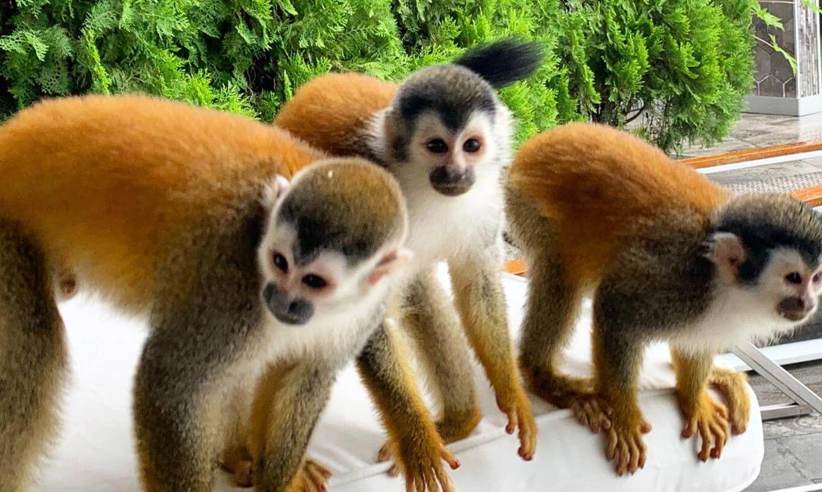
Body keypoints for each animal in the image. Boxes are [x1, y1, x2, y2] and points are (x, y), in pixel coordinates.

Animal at [0, 94, 455, 492]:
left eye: (314, 281)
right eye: (279, 262)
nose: (279, 300)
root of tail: (13, 134)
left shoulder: (366, 308)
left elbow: (305, 377)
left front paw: (279, 479)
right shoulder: (228, 284)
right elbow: (170, 386)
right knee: (35, 357)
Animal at [274, 38, 543, 465]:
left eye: (471, 146)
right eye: (436, 147)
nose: (456, 173)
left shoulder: (487, 200)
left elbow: (478, 285)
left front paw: (511, 391)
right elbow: (367, 319)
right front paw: (418, 442)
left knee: (423, 295)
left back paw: (459, 422)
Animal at [505, 122, 822, 476]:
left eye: (816, 278)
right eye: (793, 278)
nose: (809, 303)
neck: (720, 280)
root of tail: (539, 143)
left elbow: (695, 340)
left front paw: (693, 397)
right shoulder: (677, 281)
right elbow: (614, 308)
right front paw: (624, 412)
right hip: (528, 204)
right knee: (563, 275)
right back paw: (543, 376)